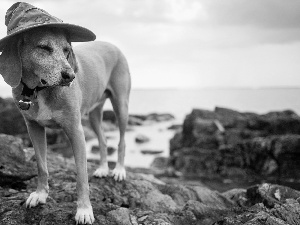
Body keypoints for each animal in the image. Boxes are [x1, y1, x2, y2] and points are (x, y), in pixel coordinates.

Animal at [0, 2, 131, 225]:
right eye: (43, 48)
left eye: (67, 50)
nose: (70, 75)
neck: (40, 90)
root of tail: (113, 46)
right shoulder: (33, 128)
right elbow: (41, 166)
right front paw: (40, 194)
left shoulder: (75, 131)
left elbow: (81, 177)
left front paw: (84, 210)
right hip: (94, 114)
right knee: (104, 140)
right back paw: (103, 168)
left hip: (121, 106)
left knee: (121, 140)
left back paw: (119, 170)